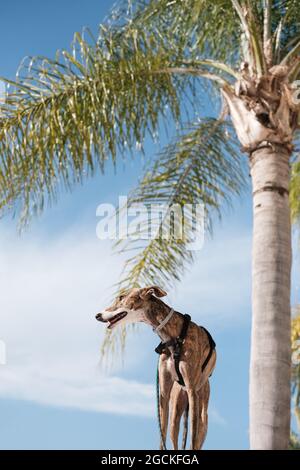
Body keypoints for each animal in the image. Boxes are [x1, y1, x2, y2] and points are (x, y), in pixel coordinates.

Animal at [96, 284, 216, 450]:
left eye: (121, 297)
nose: (97, 315)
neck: (174, 337)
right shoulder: (164, 394)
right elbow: (161, 435)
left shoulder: (192, 391)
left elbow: (192, 439)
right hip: (175, 410)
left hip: (202, 414)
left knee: (197, 436)